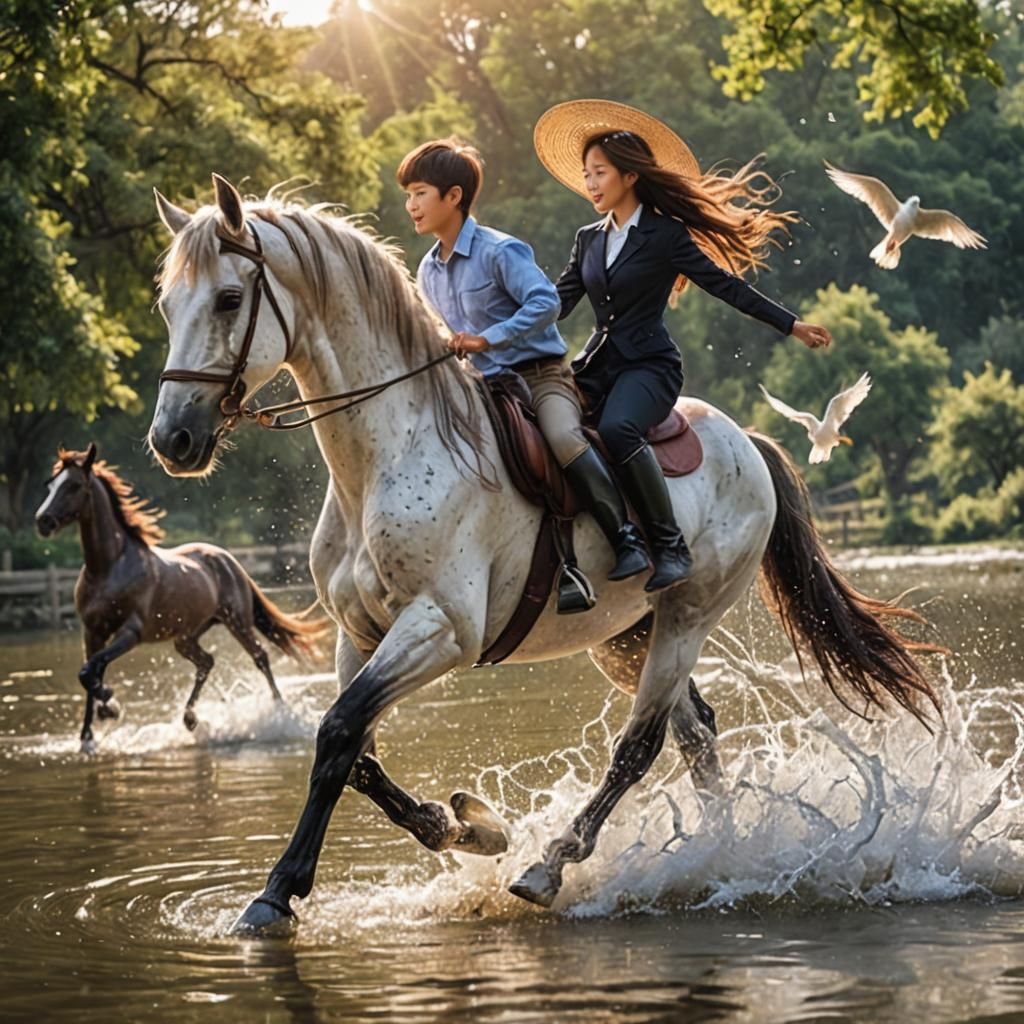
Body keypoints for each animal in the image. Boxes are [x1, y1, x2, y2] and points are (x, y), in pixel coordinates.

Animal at [34, 443, 328, 752]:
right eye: (51, 484)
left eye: (74, 485)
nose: (43, 521)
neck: (108, 568)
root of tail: (228, 559)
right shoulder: (92, 632)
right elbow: (90, 673)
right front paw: (91, 732)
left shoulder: (130, 633)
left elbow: (90, 672)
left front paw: (109, 704)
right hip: (186, 637)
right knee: (206, 662)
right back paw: (190, 720)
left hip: (237, 623)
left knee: (260, 658)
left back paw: (281, 714)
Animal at [147, 175, 941, 933]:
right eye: (166, 306)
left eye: (228, 299)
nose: (172, 441)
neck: (389, 451)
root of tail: (746, 440)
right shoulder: (361, 634)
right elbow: (358, 755)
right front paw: (466, 828)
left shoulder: (440, 630)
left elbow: (338, 734)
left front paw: (277, 892)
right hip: (628, 638)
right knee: (696, 737)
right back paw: (719, 853)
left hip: (687, 618)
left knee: (640, 746)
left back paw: (551, 866)